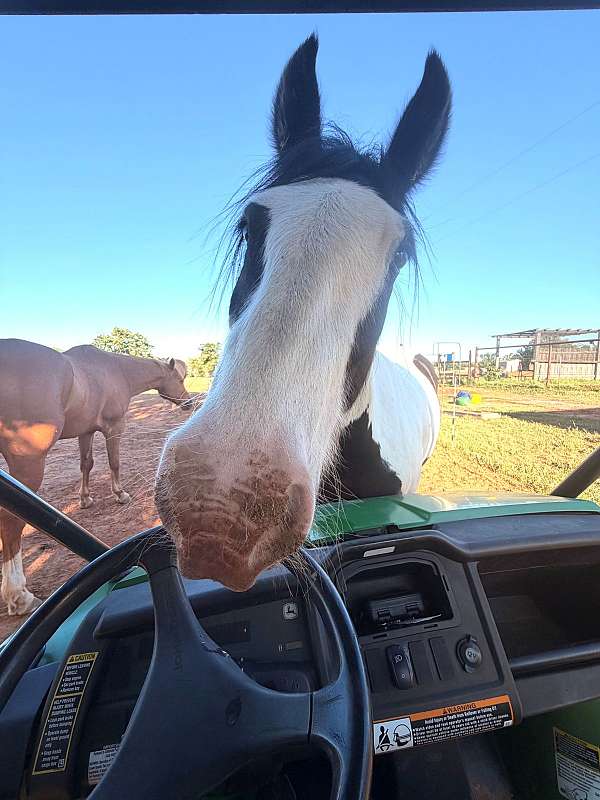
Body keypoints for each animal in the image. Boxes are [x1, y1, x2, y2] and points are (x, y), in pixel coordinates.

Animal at [0, 338, 190, 614]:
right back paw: (19, 595)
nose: (189, 403)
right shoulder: (114, 427)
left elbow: (86, 464)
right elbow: (114, 462)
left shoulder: (86, 431)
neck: (117, 370)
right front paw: (120, 494)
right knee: (10, 522)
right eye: (180, 378)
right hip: (28, 465)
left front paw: (85, 498)